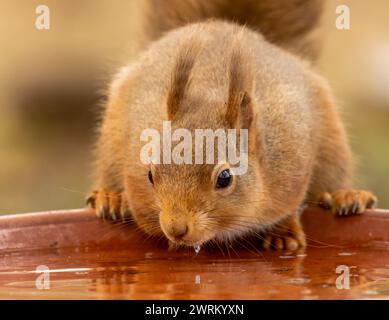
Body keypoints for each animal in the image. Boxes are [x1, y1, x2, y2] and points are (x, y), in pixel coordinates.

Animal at [85, 0, 376, 250]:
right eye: (149, 175)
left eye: (225, 178)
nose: (176, 228)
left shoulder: (293, 164)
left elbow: (290, 206)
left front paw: (284, 232)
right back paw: (112, 197)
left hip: (332, 142)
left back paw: (346, 196)